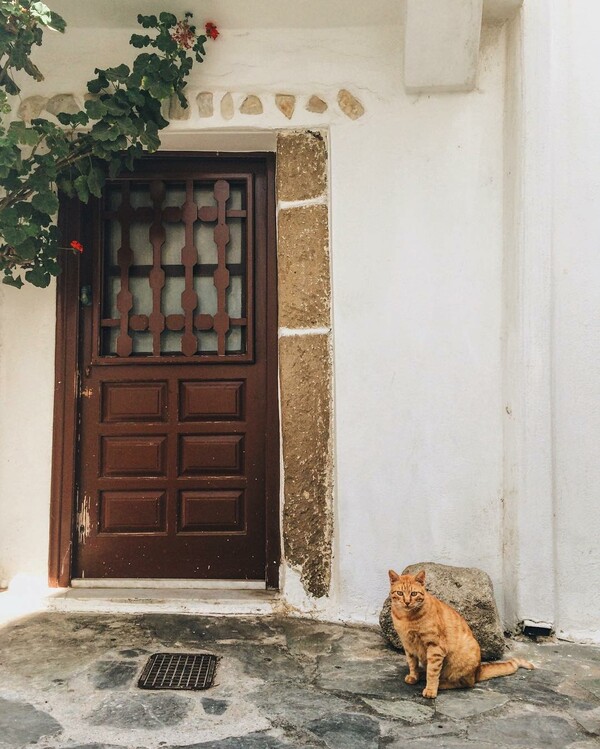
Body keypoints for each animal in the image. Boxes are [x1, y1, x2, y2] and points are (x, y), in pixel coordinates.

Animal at [390, 568, 536, 700]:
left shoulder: (435, 647)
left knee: (465, 683)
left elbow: (432, 672)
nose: (407, 602)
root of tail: (478, 670)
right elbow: (412, 663)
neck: (407, 618)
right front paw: (413, 676)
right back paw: (421, 675)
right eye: (400, 593)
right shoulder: (408, 645)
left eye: (414, 593)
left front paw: (431, 689)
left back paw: (440, 683)